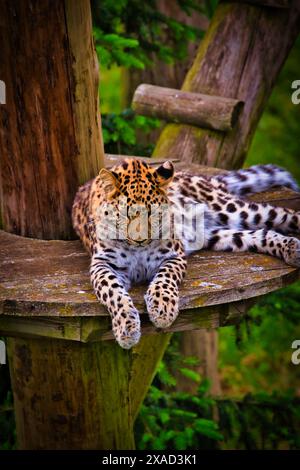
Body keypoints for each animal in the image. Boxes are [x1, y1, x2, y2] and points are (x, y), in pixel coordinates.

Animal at [72, 158, 300, 348]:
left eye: (153, 214)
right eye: (124, 215)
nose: (140, 240)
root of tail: (198, 177)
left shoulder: (173, 254)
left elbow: (164, 279)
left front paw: (162, 310)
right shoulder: (103, 264)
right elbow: (114, 293)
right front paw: (127, 327)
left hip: (231, 209)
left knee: (284, 214)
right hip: (217, 234)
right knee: (260, 234)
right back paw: (291, 248)